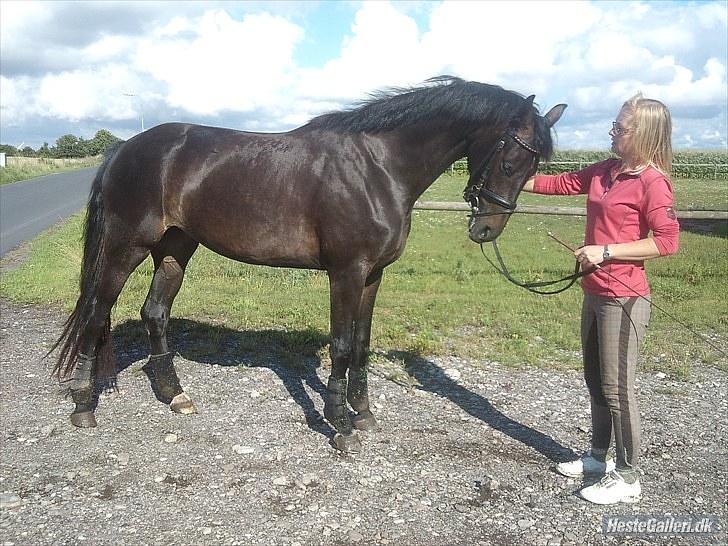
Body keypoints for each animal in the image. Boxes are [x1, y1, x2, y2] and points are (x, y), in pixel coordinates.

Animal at [54, 76, 564, 450]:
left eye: (534, 166)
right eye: (511, 159)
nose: (487, 231)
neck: (377, 168)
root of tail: (124, 148)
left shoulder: (374, 275)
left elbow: (361, 343)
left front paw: (364, 414)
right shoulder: (347, 271)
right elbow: (340, 344)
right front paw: (339, 424)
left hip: (176, 247)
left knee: (155, 312)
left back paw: (174, 396)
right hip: (127, 247)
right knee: (97, 313)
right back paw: (83, 406)